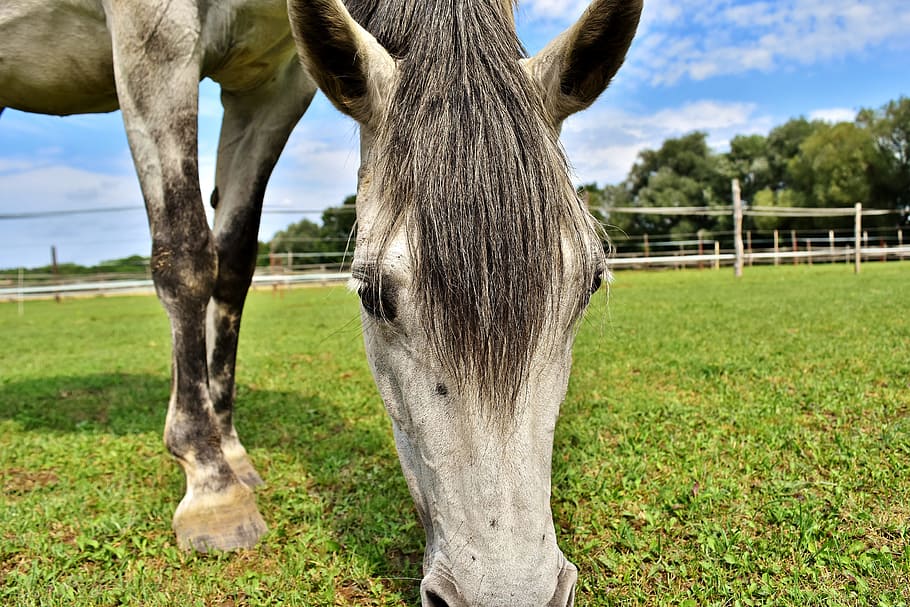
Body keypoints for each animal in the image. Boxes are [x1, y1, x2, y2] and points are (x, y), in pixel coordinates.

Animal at [1, 0, 641, 604]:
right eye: (373, 295)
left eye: (589, 284)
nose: (511, 594)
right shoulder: (152, 39)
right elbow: (186, 257)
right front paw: (212, 485)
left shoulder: (274, 84)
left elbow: (232, 262)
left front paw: (231, 451)